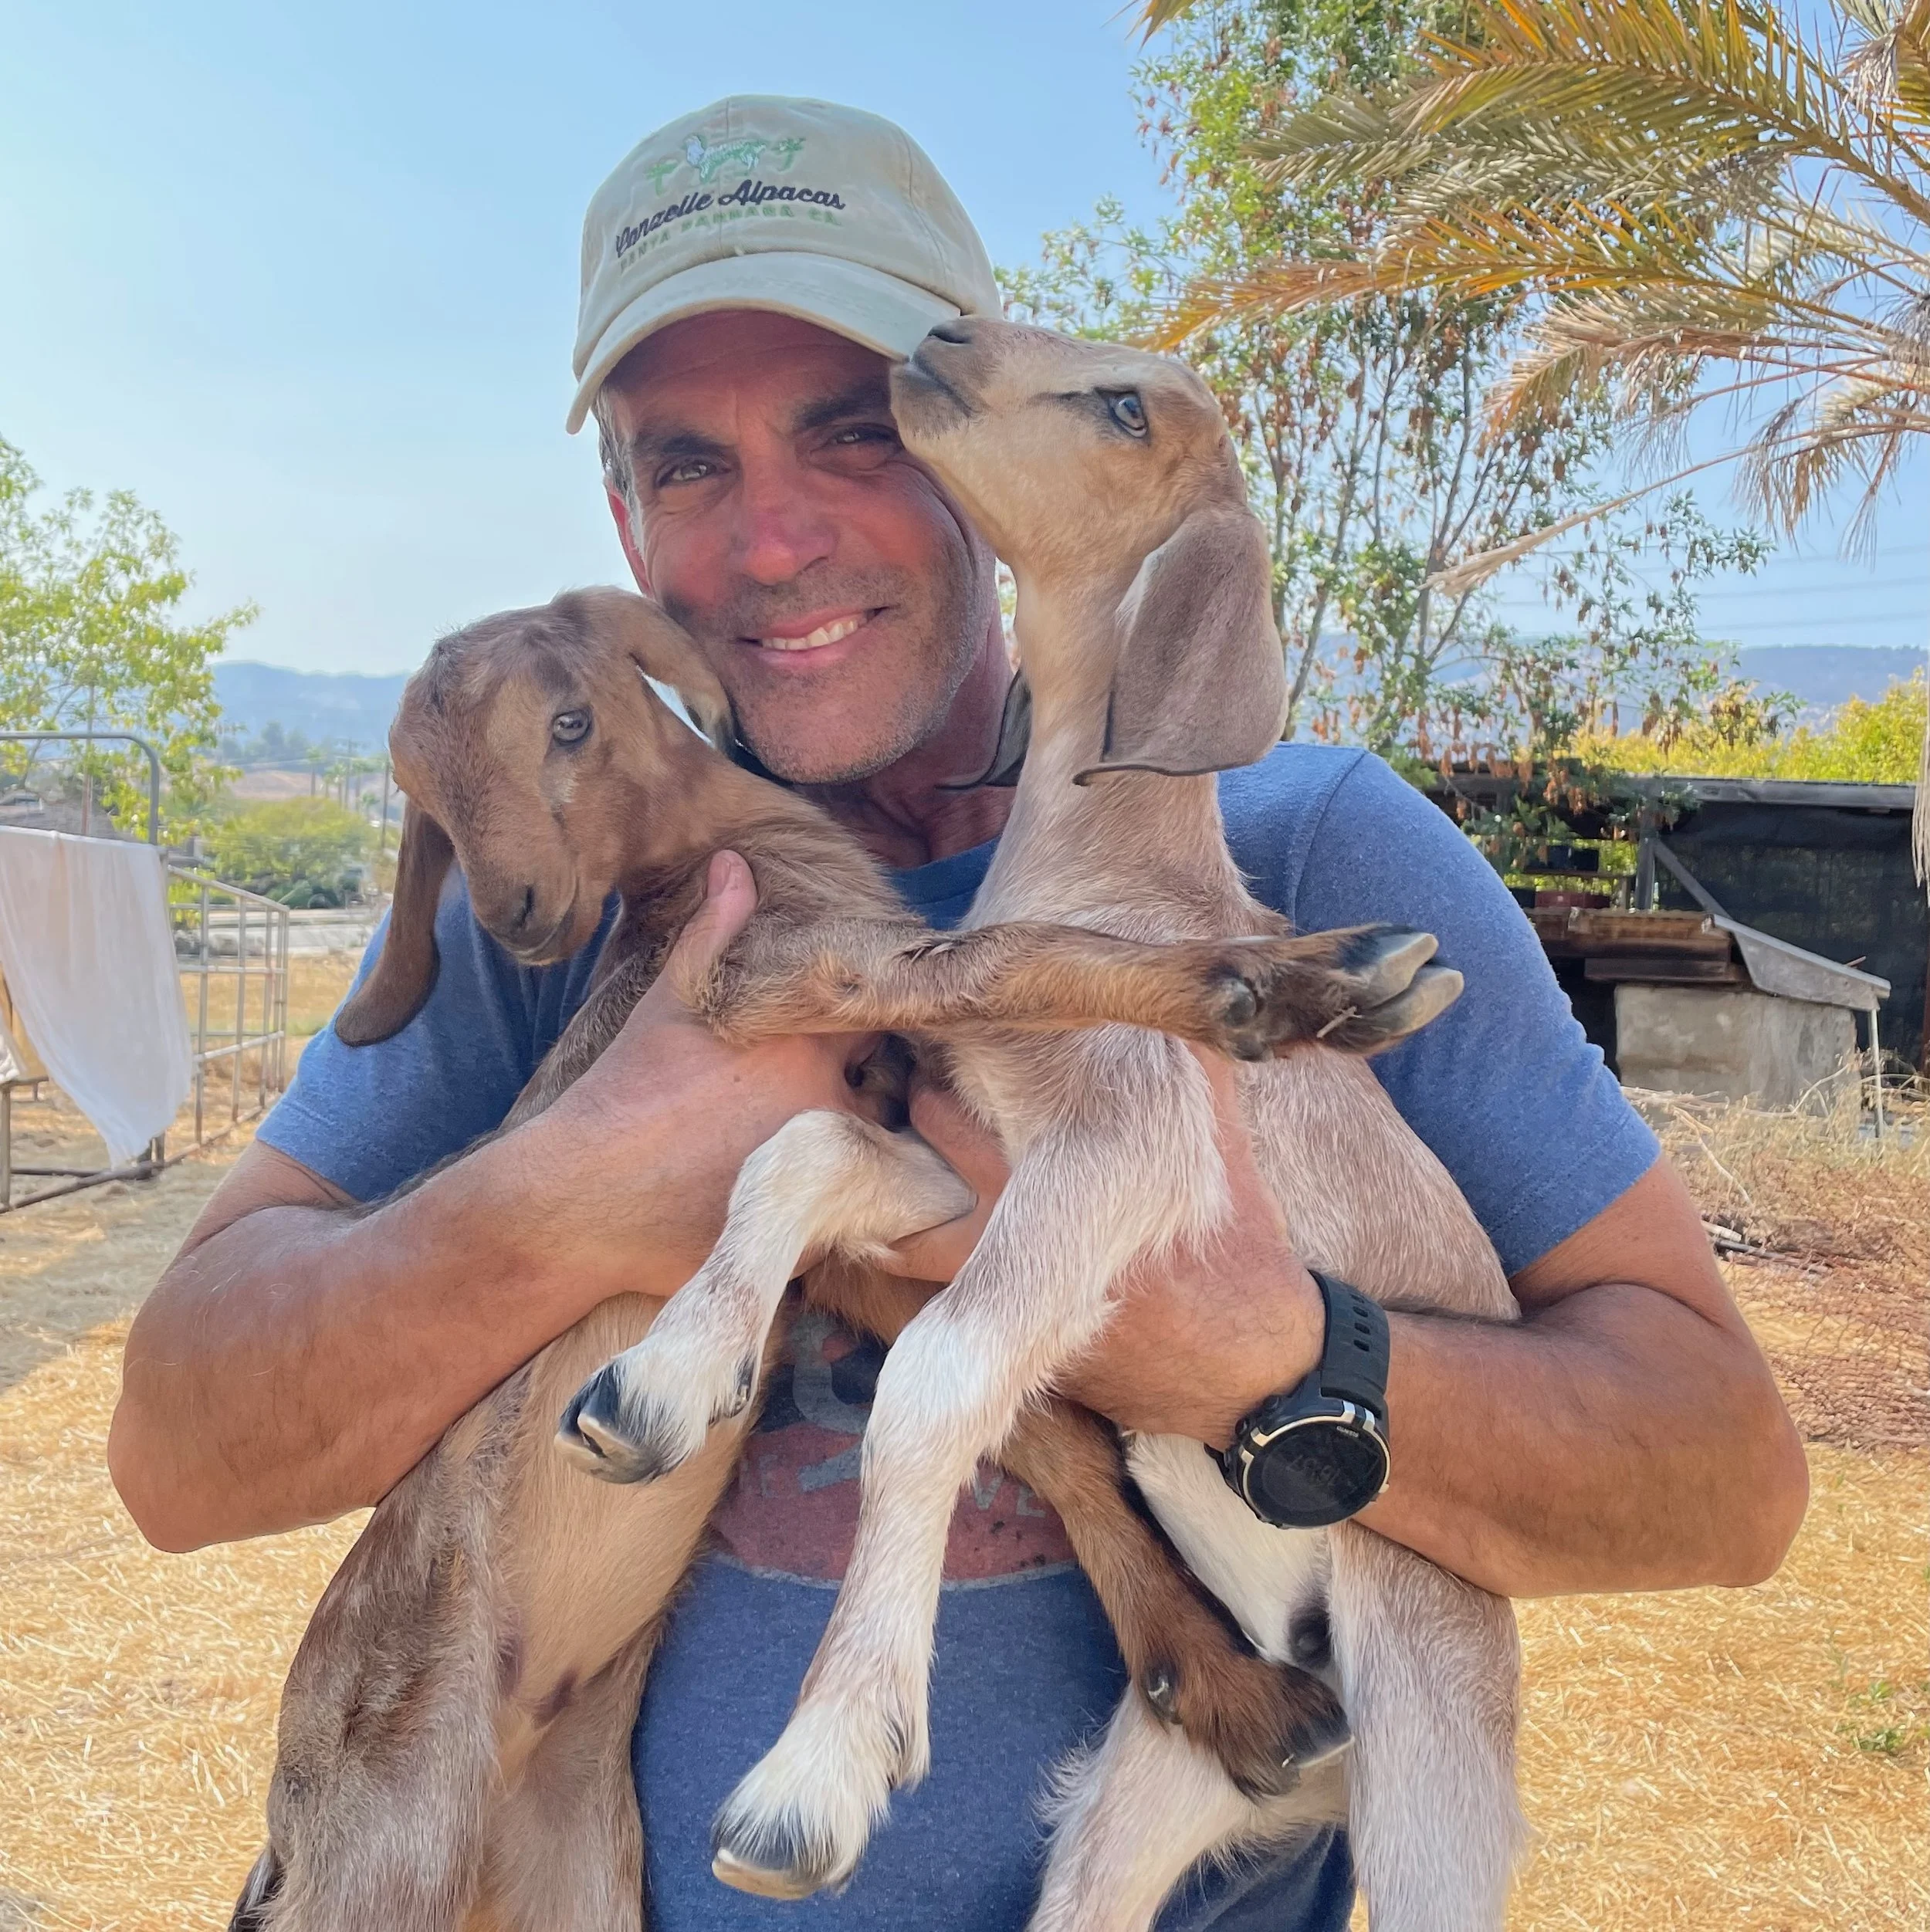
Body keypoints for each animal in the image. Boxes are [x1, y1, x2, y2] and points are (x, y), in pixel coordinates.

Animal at [568, 321, 1526, 1932]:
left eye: (1126, 404)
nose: (939, 339)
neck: (1115, 877)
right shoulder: (963, 1152)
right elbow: (795, 1158)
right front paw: (665, 1376)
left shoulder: (1122, 1143)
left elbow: (935, 1376)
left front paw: (823, 1763)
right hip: (1149, 1793)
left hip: (1434, 1775)